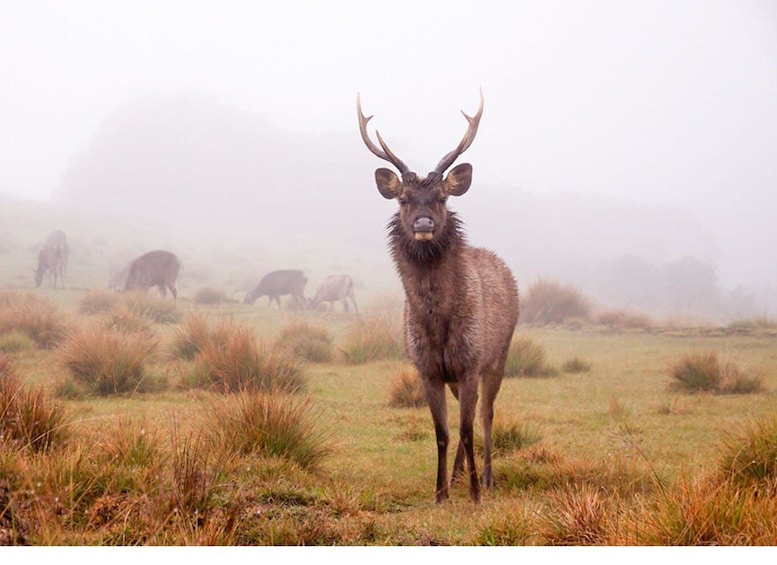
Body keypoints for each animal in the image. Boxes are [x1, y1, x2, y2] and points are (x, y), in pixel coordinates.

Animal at [356, 91, 516, 502]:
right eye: (403, 199)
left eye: (442, 197)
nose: (424, 224)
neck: (438, 327)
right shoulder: (427, 368)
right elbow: (442, 432)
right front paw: (440, 492)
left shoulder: (471, 362)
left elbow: (466, 429)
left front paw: (475, 494)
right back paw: (458, 476)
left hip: (500, 355)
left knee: (486, 415)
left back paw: (486, 478)